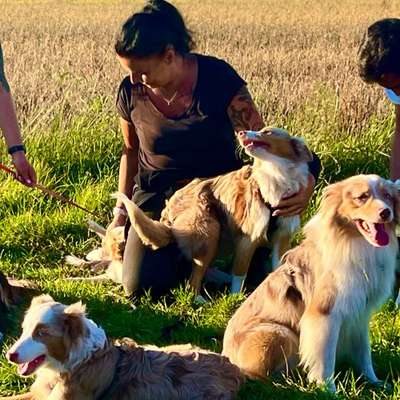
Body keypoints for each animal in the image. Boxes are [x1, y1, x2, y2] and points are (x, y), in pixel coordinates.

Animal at [114, 126, 310, 296]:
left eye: (267, 132)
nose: (240, 132)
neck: (275, 175)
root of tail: (168, 210)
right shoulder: (248, 239)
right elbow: (239, 276)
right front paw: (234, 300)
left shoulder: (282, 237)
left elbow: (279, 268)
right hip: (209, 228)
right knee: (192, 281)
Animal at [222, 174, 400, 390]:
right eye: (362, 197)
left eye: (388, 196)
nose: (386, 212)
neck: (356, 244)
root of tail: (225, 356)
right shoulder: (325, 314)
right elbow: (325, 359)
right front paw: (328, 390)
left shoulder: (360, 313)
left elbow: (364, 354)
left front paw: (375, 382)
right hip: (280, 332)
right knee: (256, 377)